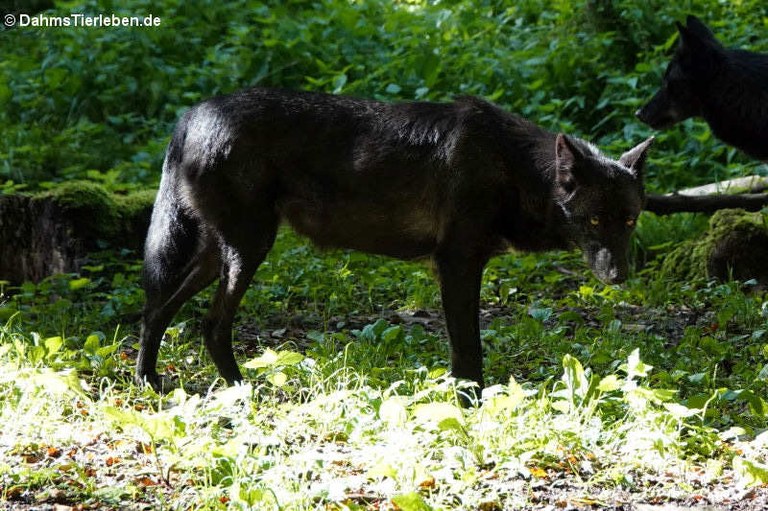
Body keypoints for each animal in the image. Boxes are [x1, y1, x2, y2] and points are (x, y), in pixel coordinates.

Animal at [138, 89, 656, 396]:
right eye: (593, 220)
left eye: (630, 220)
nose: (620, 277)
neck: (514, 170)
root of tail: (192, 115)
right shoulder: (457, 265)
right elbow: (468, 350)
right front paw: (469, 405)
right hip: (248, 251)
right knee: (209, 325)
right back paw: (243, 392)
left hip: (219, 254)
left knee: (157, 309)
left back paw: (150, 382)